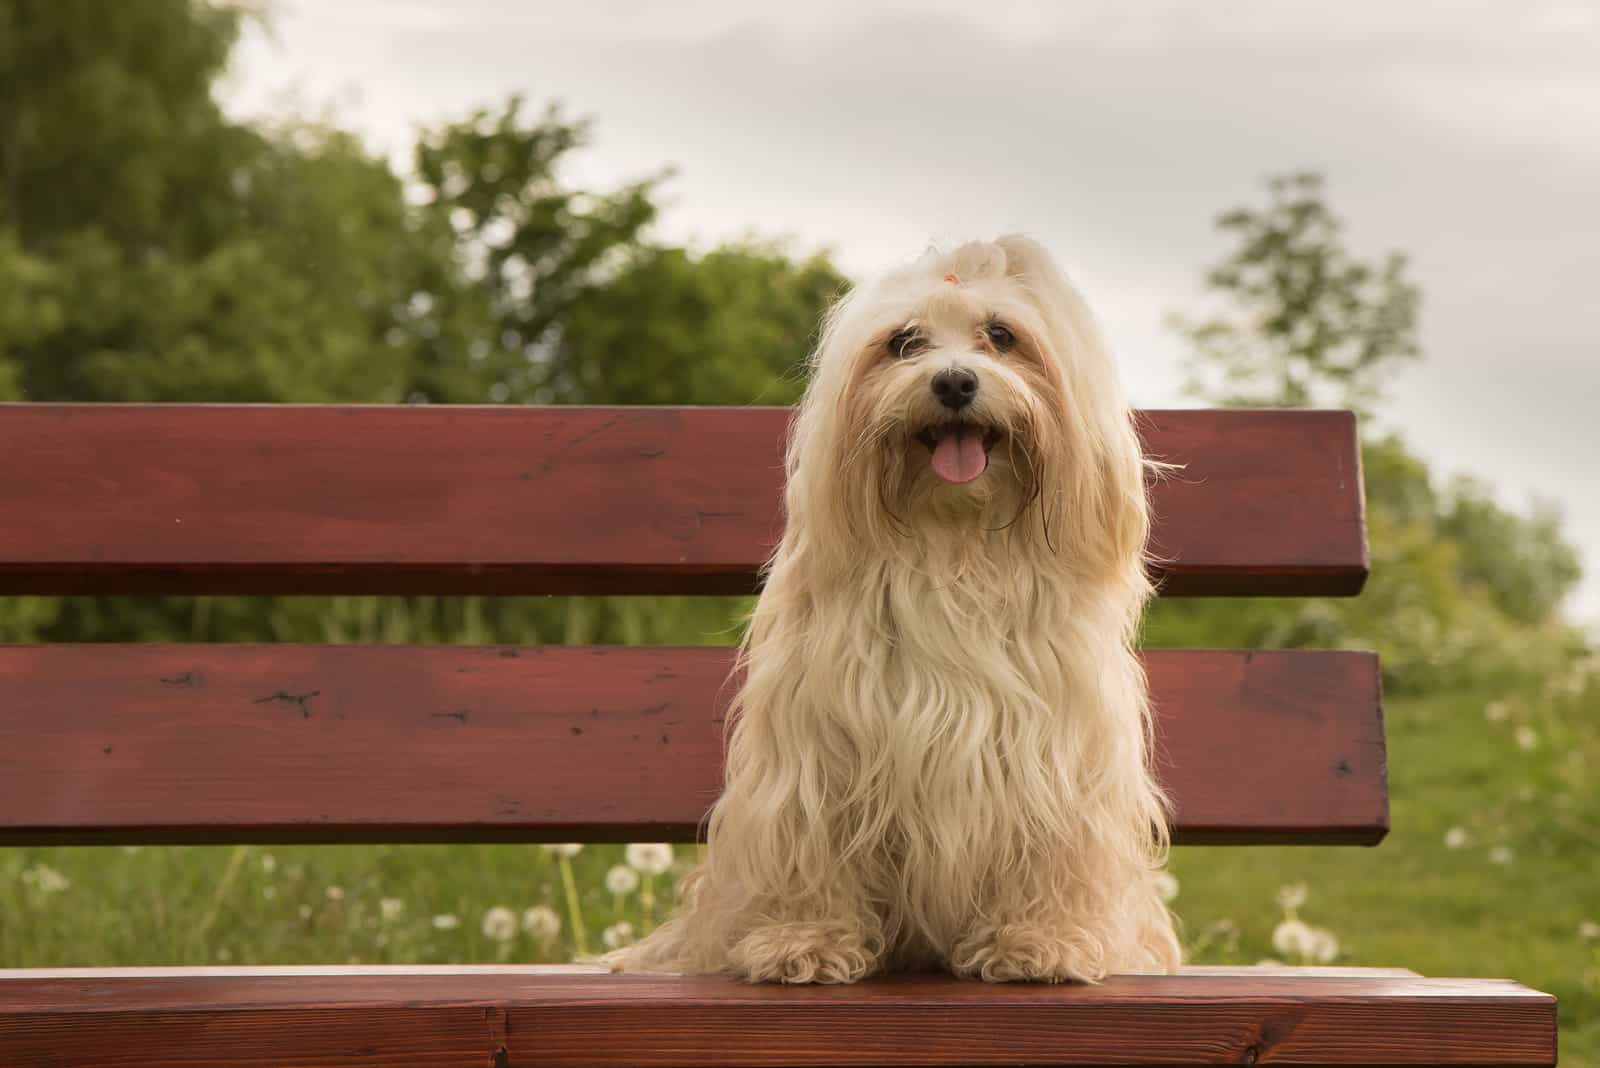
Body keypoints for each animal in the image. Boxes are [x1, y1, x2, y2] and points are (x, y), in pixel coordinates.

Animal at [604, 233, 1184, 984]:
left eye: (1002, 336)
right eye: (904, 343)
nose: (954, 383)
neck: (954, 541)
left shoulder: (1058, 756)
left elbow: (1046, 851)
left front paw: (1038, 941)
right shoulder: (816, 753)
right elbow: (813, 845)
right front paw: (805, 941)